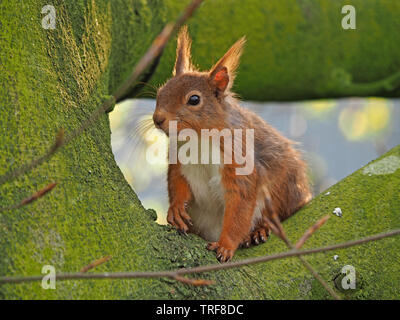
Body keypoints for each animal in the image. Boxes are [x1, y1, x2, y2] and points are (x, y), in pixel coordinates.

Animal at [152, 26, 310, 262]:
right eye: (160, 92)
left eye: (194, 99)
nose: (158, 119)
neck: (199, 139)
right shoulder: (179, 161)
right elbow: (177, 183)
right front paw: (176, 208)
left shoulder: (241, 163)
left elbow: (239, 208)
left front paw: (225, 245)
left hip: (286, 188)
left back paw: (259, 230)